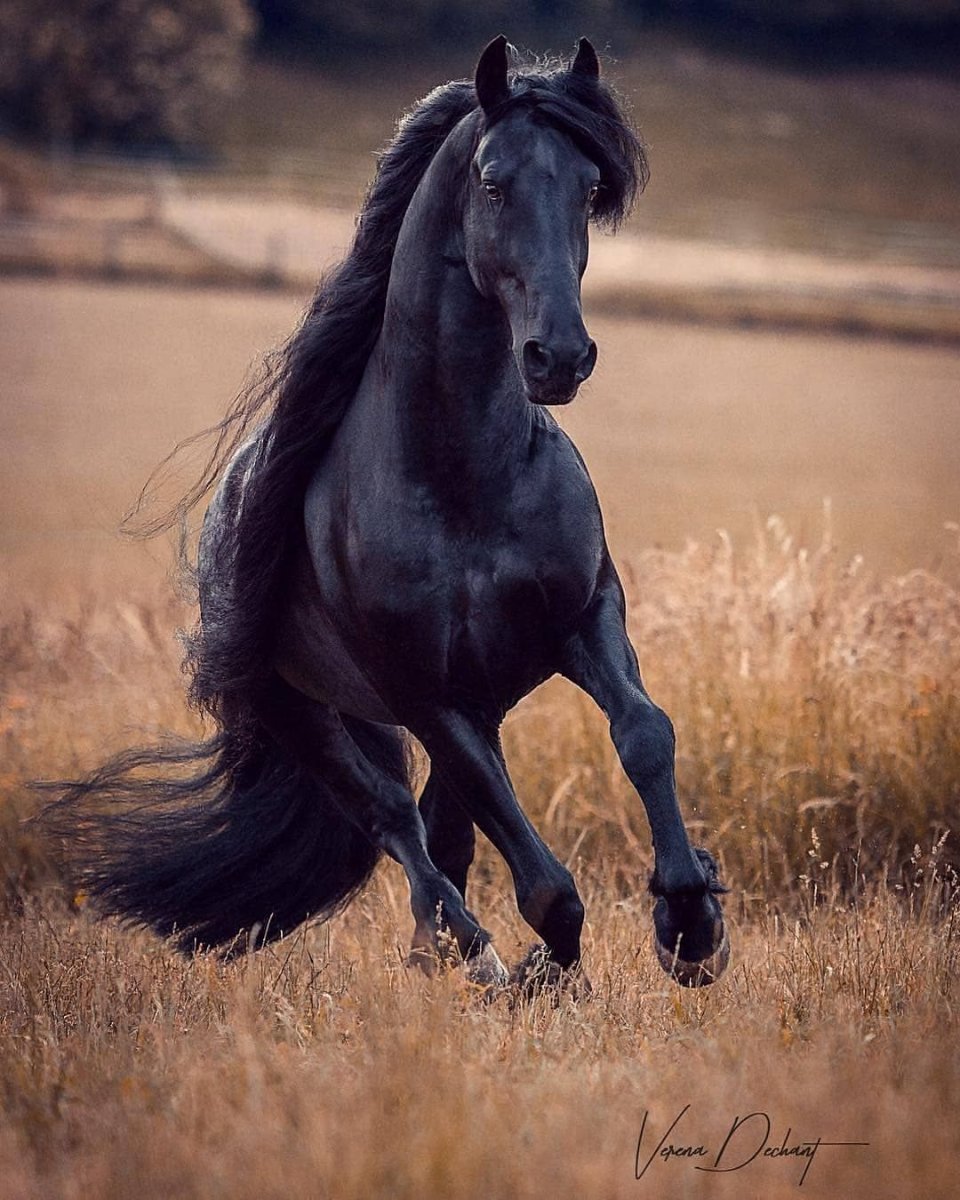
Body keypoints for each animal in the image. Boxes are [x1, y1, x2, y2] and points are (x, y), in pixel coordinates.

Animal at [46, 37, 729, 991]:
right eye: (492, 182)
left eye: (590, 187)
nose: (559, 357)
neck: (461, 478)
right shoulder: (423, 689)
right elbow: (543, 886)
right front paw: (542, 969)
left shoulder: (586, 616)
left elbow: (644, 732)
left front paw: (692, 919)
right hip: (311, 714)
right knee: (399, 826)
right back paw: (468, 956)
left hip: (479, 702)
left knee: (445, 823)